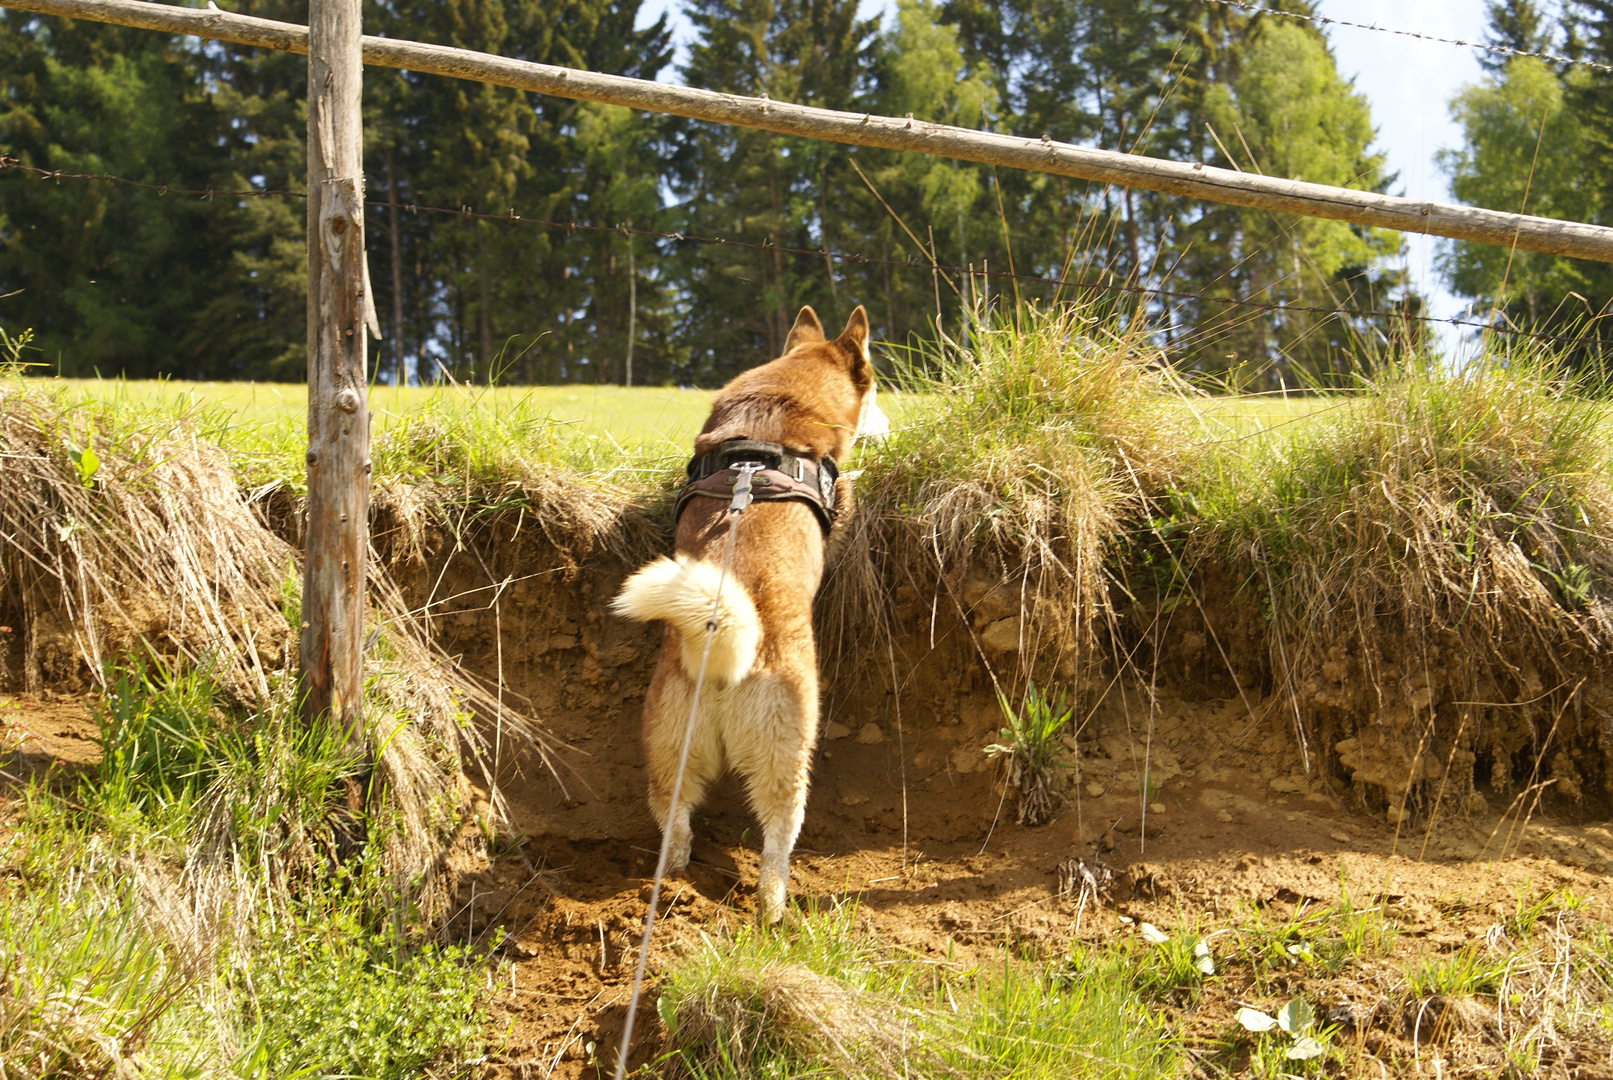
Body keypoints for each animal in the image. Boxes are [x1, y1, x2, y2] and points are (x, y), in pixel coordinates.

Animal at [606, 304, 883, 922]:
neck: (778, 407)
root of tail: (716, 649)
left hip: (670, 751)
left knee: (676, 828)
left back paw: (674, 884)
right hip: (788, 754)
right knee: (777, 841)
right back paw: (773, 910)